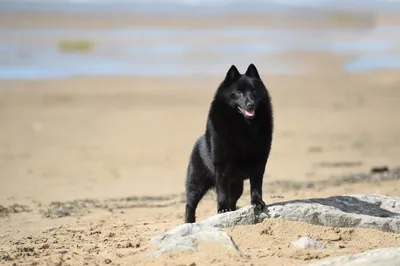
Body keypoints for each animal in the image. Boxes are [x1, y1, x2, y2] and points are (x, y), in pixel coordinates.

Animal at [185, 64, 274, 222]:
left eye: (253, 91)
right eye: (238, 92)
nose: (250, 104)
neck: (244, 127)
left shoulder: (259, 162)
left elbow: (256, 185)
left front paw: (258, 202)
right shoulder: (222, 166)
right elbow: (221, 192)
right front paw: (222, 209)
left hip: (237, 186)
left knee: (233, 200)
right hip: (196, 183)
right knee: (190, 204)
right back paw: (189, 222)